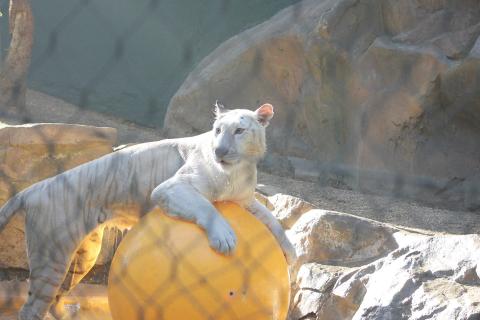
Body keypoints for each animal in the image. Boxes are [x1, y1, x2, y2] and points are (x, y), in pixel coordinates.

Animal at [0, 103, 296, 320]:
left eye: (239, 131)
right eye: (217, 130)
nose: (219, 150)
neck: (236, 171)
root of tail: (32, 189)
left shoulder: (245, 201)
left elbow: (272, 219)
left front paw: (290, 251)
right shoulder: (170, 187)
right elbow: (206, 207)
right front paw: (224, 238)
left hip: (85, 256)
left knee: (56, 299)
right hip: (51, 256)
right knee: (31, 309)